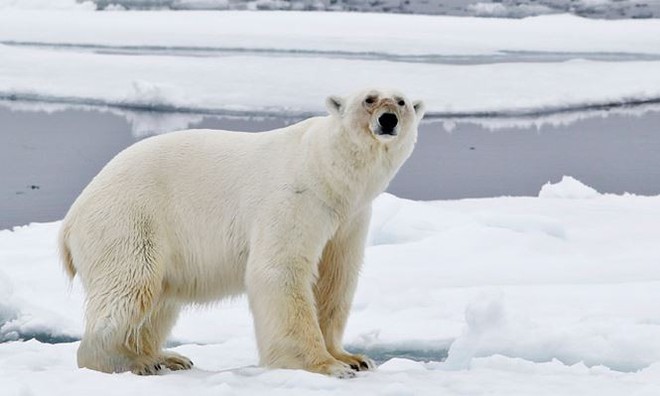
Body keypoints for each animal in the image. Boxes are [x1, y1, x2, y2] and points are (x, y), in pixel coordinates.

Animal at [59, 87, 426, 378]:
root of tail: (71, 218)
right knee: (131, 286)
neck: (326, 170)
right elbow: (280, 270)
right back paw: (128, 360)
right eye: (369, 98)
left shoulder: (349, 218)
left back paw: (166, 356)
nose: (388, 120)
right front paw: (325, 365)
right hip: (130, 220)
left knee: (158, 299)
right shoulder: (296, 198)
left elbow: (335, 279)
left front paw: (353, 358)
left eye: (402, 101)